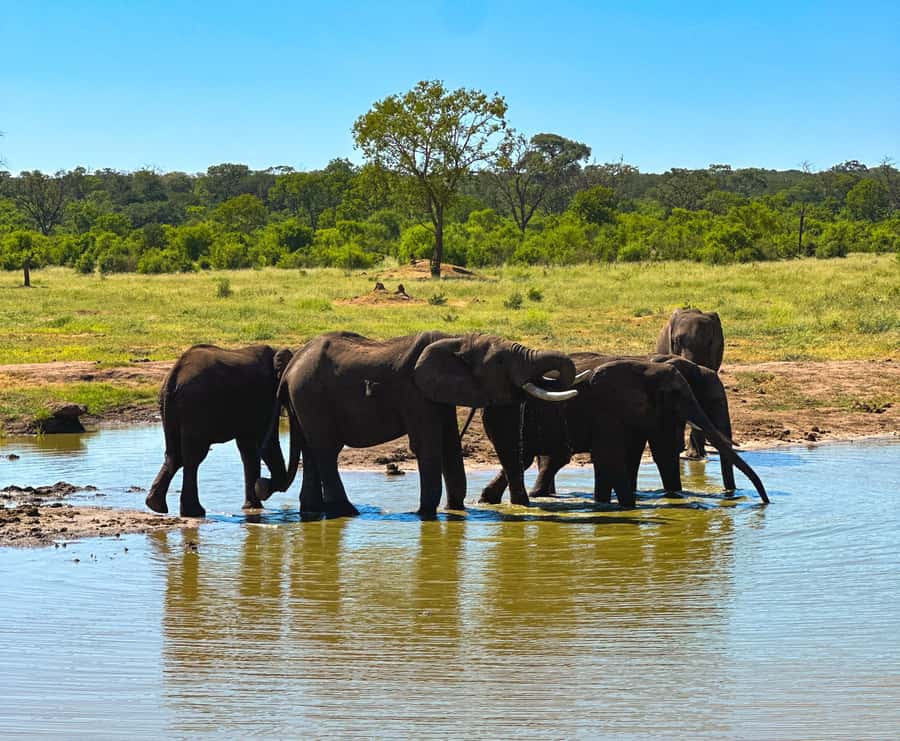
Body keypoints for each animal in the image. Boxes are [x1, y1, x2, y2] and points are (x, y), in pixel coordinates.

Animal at [146, 344, 293, 518]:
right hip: (196, 407)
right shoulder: (266, 396)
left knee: (174, 455)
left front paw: (251, 507)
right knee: (193, 457)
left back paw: (155, 505)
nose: (265, 484)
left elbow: (248, 449)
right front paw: (259, 497)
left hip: (168, 408)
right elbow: (266, 443)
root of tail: (173, 375)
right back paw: (194, 512)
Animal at [272, 331, 578, 519]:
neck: (458, 340)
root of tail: (291, 366)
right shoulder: (415, 392)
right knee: (325, 451)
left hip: (303, 401)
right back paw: (348, 512)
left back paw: (313, 511)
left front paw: (455, 511)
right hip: (311, 395)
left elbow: (451, 446)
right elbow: (428, 445)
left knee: (310, 450)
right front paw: (425, 514)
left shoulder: (439, 395)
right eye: (501, 360)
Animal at [480, 357, 766, 508]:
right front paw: (630, 506)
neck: (647, 367)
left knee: (524, 459)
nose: (764, 502)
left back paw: (491, 499)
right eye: (677, 394)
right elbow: (621, 456)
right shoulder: (609, 411)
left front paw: (606, 503)